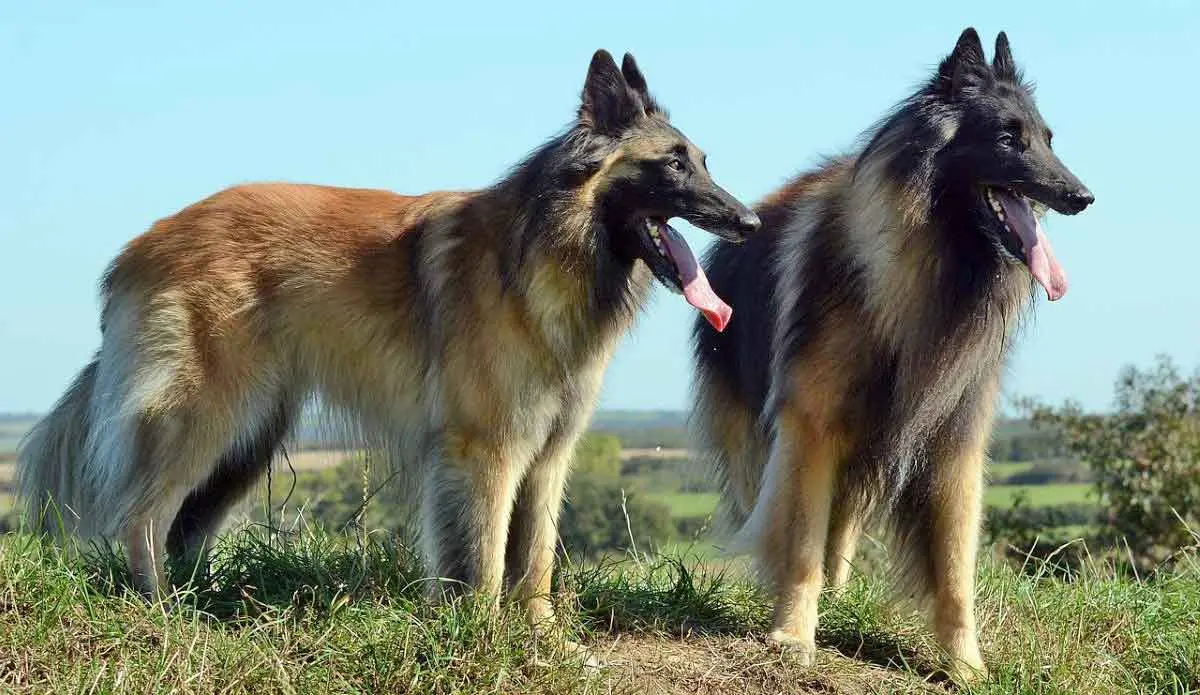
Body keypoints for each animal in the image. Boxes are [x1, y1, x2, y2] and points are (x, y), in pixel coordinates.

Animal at [18, 48, 753, 638]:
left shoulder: (548, 454)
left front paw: (544, 638)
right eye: (673, 165)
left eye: (704, 163)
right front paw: (485, 639)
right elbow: (486, 558)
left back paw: (202, 602)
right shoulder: (486, 449)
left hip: (248, 439)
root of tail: (137, 247)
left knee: (181, 524)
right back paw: (163, 613)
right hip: (206, 420)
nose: (748, 221)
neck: (545, 247)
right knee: (141, 516)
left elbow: (535, 558)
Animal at [691, 28, 1094, 681]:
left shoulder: (952, 441)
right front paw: (792, 636)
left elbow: (955, 571)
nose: (1082, 196)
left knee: (843, 531)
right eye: (1009, 138)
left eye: (1048, 139)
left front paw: (967, 666)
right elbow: (799, 545)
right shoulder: (810, 428)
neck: (934, 264)